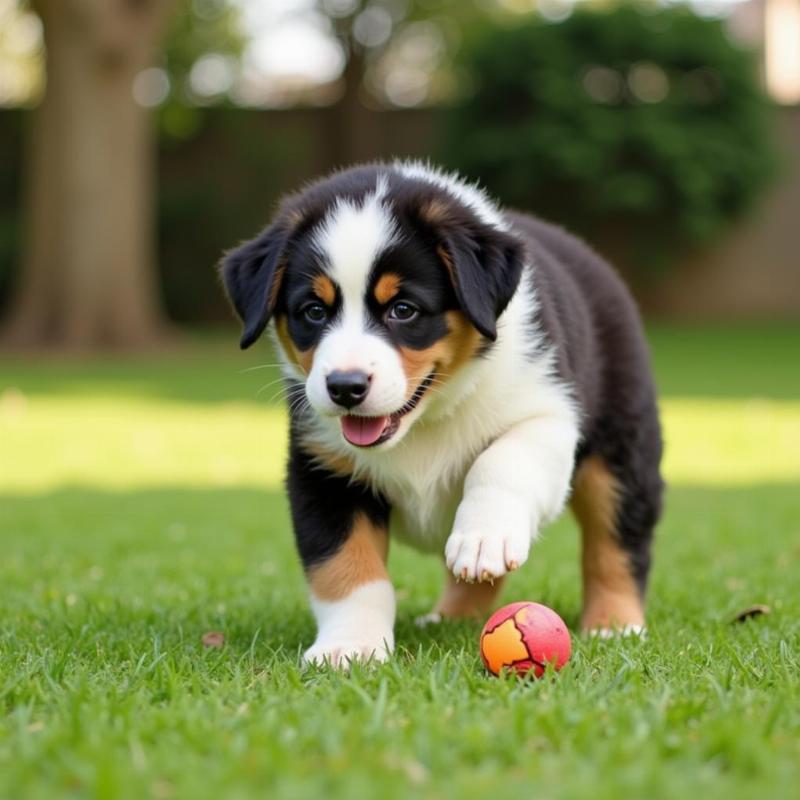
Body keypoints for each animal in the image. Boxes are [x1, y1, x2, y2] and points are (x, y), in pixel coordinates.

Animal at [219, 159, 664, 664]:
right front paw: (350, 647)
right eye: (313, 311)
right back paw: (454, 615)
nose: (345, 387)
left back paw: (614, 625)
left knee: (617, 542)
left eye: (403, 309)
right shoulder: (323, 470)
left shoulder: (548, 411)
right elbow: (346, 568)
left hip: (621, 452)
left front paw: (485, 536)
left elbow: (501, 461)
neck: (425, 420)